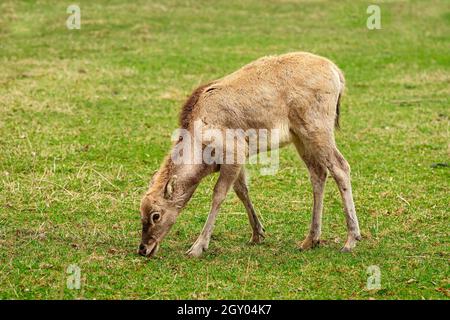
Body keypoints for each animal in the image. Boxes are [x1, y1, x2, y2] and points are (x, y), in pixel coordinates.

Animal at [137, 51, 362, 258]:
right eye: (141, 212)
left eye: (156, 215)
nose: (143, 249)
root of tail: (337, 73)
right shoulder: (237, 159)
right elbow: (242, 190)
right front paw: (257, 234)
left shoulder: (235, 151)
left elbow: (219, 195)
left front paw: (197, 247)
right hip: (300, 137)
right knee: (318, 173)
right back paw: (311, 239)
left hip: (318, 128)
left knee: (341, 167)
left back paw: (351, 240)